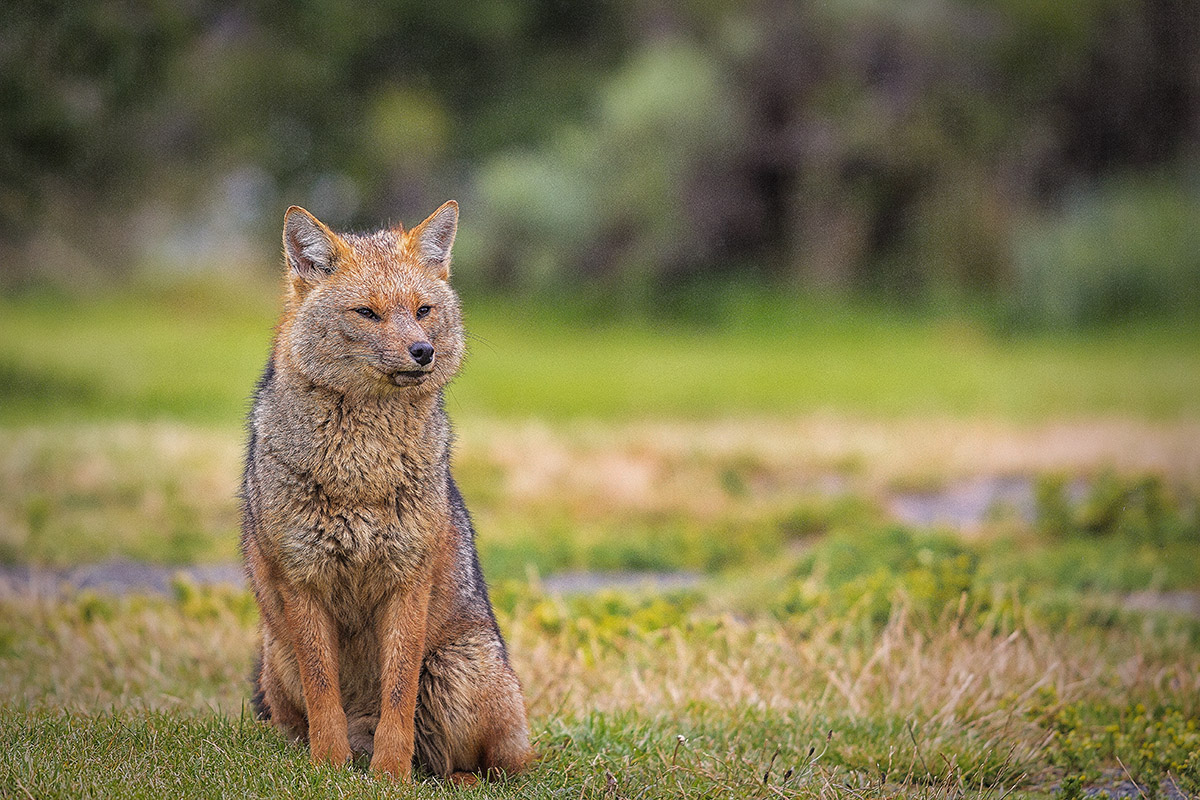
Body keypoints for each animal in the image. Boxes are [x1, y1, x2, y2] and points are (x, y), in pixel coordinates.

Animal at [241, 200, 532, 782]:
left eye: (421, 310)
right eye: (367, 314)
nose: (423, 351)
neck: (362, 470)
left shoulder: (407, 579)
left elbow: (398, 692)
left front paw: (390, 775)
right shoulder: (303, 581)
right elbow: (324, 693)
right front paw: (327, 769)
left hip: (453, 675)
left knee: (491, 766)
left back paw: (440, 777)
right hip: (278, 658)